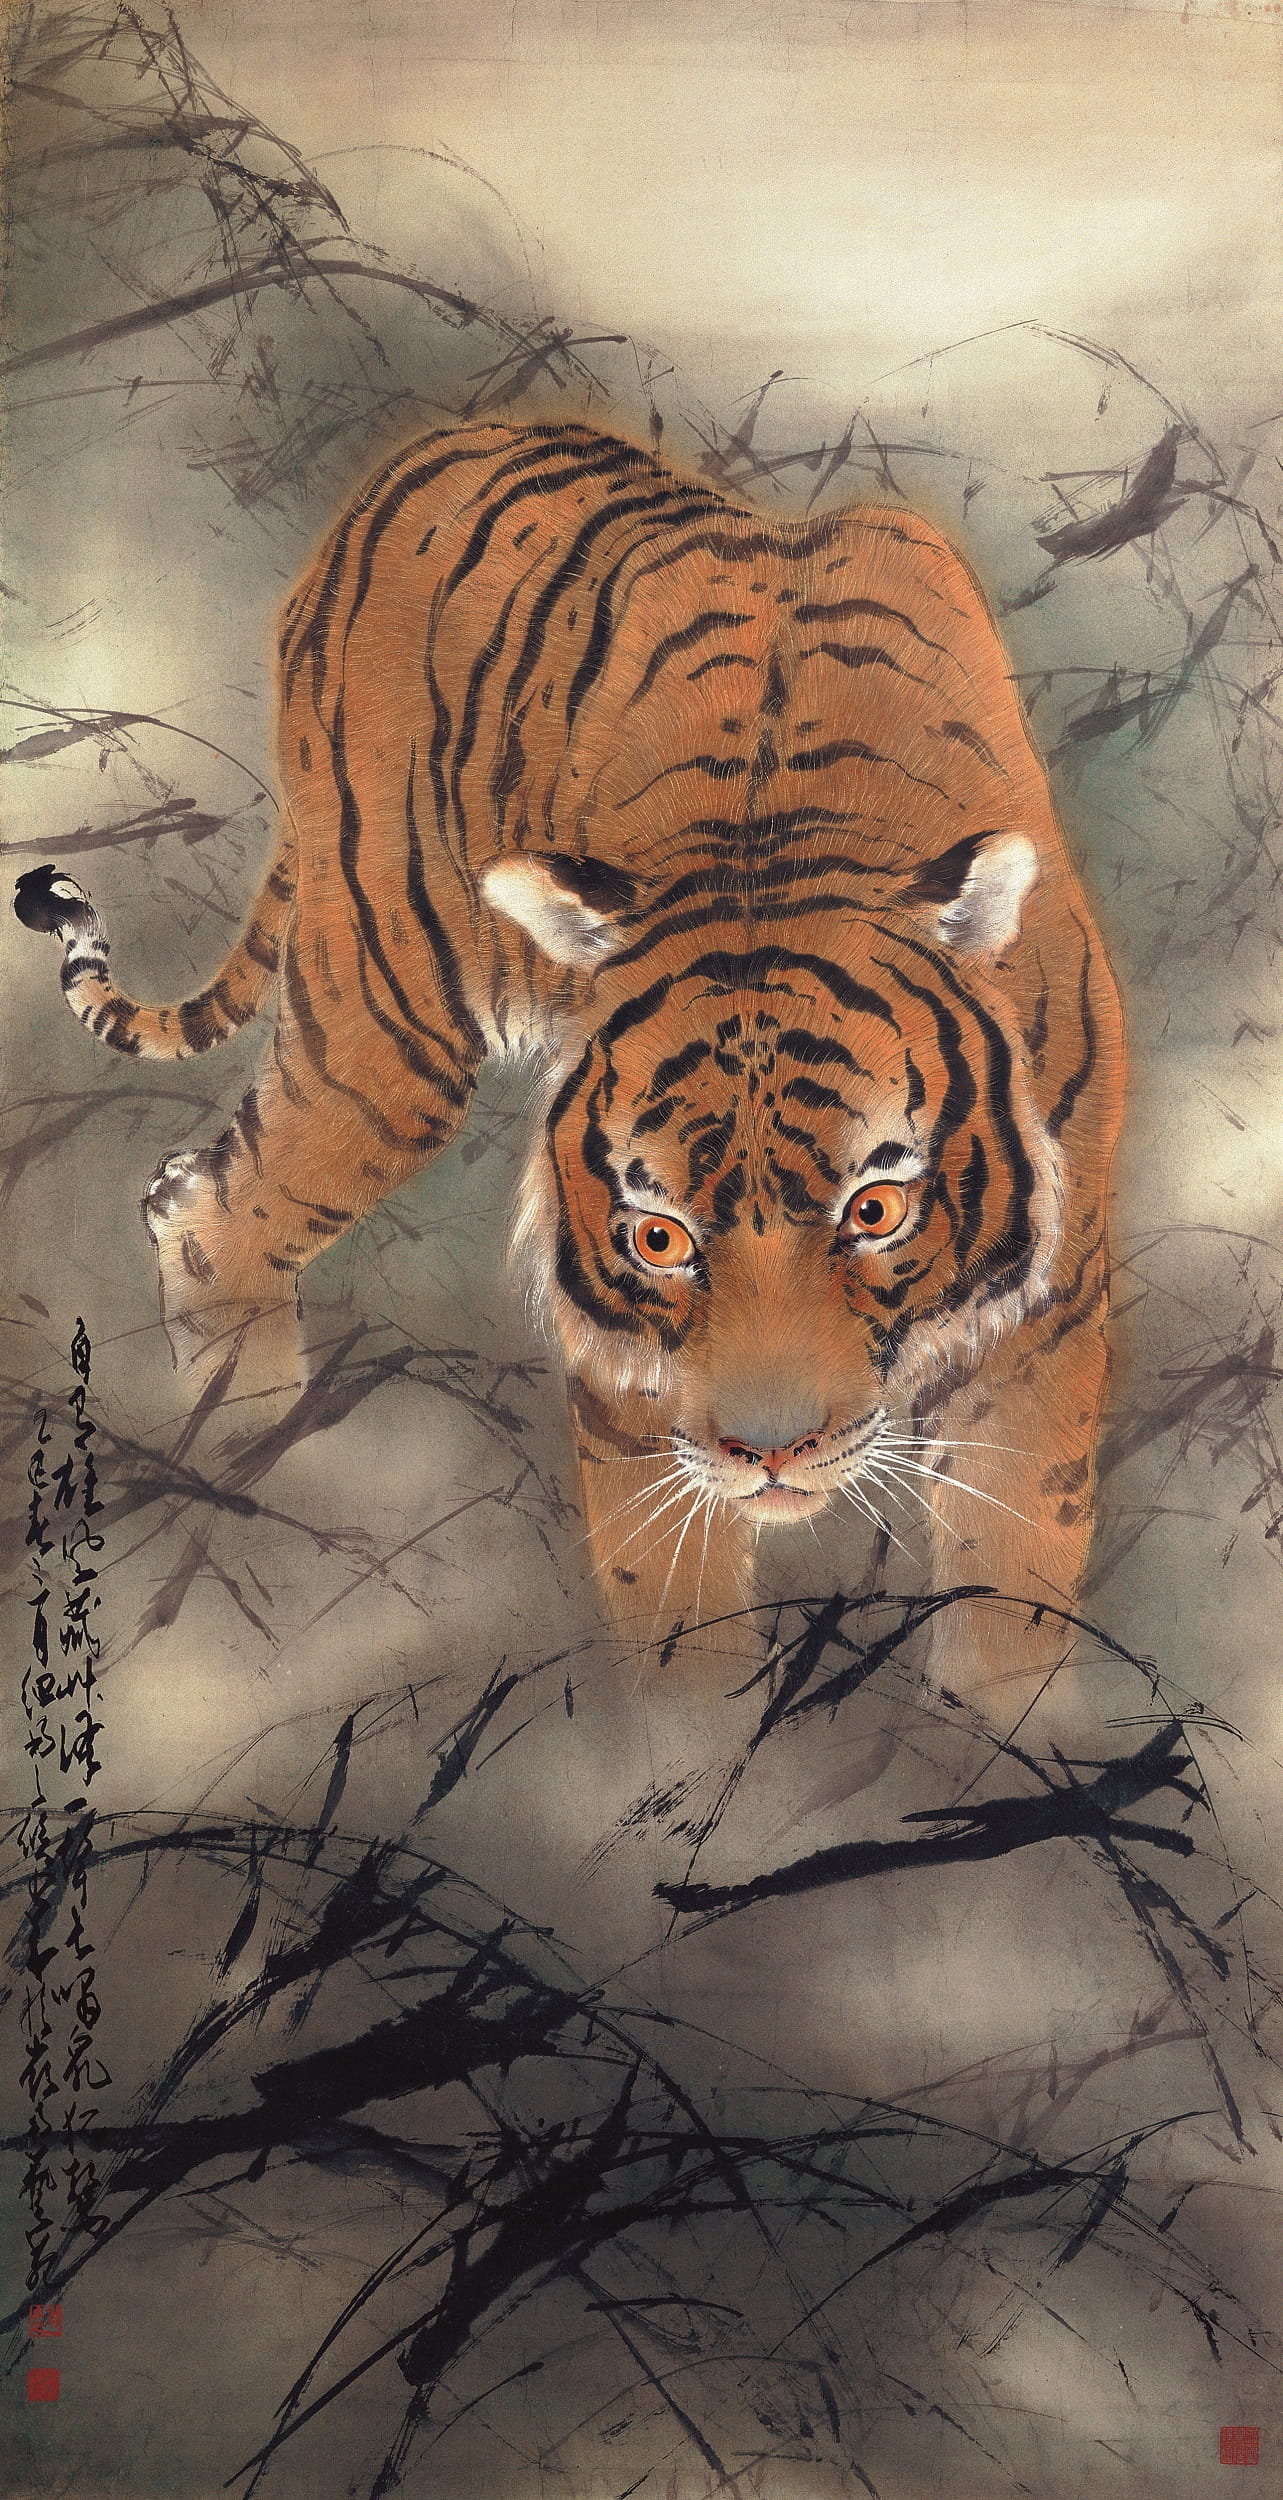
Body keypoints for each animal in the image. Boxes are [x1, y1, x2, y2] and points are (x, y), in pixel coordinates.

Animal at [15, 417, 1125, 1684]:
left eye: (875, 1211)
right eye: (659, 1237)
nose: (766, 1452)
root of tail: (410, 463)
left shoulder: (1046, 1325)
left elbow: (1009, 1586)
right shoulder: (627, 1365)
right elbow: (675, 1617)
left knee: (190, 1192)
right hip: (384, 1020)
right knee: (215, 1206)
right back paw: (254, 1487)